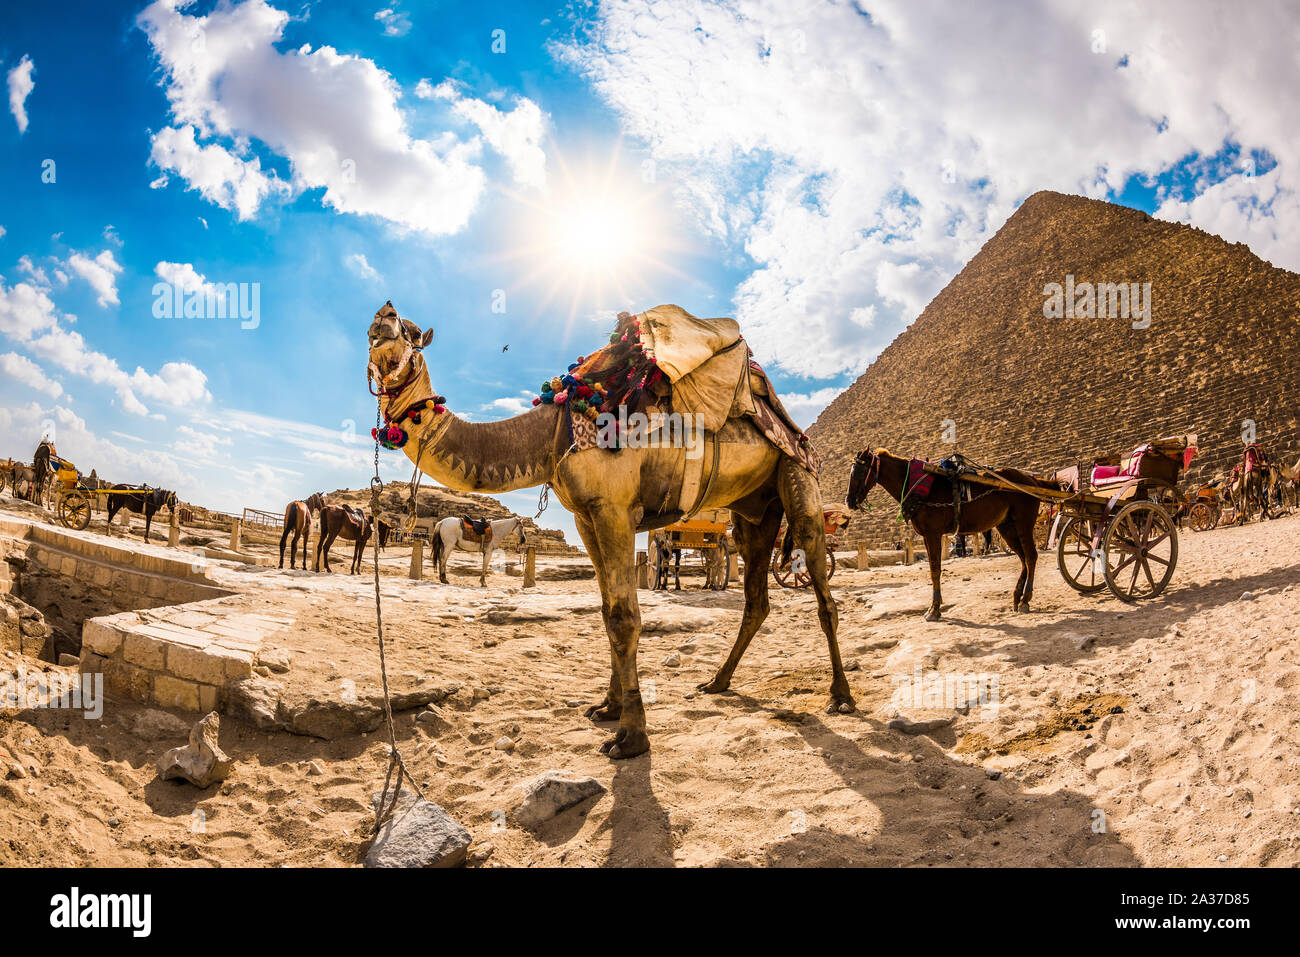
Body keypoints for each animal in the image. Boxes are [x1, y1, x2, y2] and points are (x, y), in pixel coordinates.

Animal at [366, 302, 852, 759]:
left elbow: (624, 617)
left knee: (822, 588)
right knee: (756, 598)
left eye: (412, 333)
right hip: (753, 510)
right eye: (379, 326)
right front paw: (608, 708)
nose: (383, 317)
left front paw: (631, 737)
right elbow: (605, 612)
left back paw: (840, 696)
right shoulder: (585, 516)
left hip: (797, 474)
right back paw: (717, 681)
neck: (552, 431)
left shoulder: (614, 508)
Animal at [842, 447, 1055, 621]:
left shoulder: (933, 533)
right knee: (1023, 558)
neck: (913, 482)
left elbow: (935, 570)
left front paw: (934, 609)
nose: (849, 501)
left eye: (858, 472)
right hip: (1007, 527)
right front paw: (935, 607)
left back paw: (1026, 599)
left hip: (1023, 523)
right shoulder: (926, 536)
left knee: (1031, 556)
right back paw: (1017, 597)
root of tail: (1032, 480)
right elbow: (932, 569)